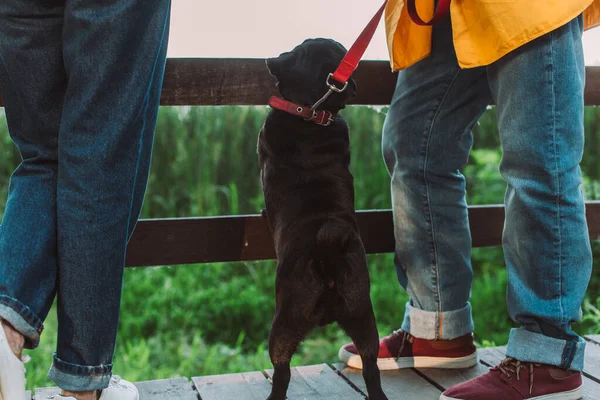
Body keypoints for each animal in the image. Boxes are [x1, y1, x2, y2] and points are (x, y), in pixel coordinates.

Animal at [258, 38, 390, 400]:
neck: (311, 115)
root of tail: (327, 249)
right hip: (363, 317)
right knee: (371, 369)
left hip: (283, 325)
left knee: (282, 371)